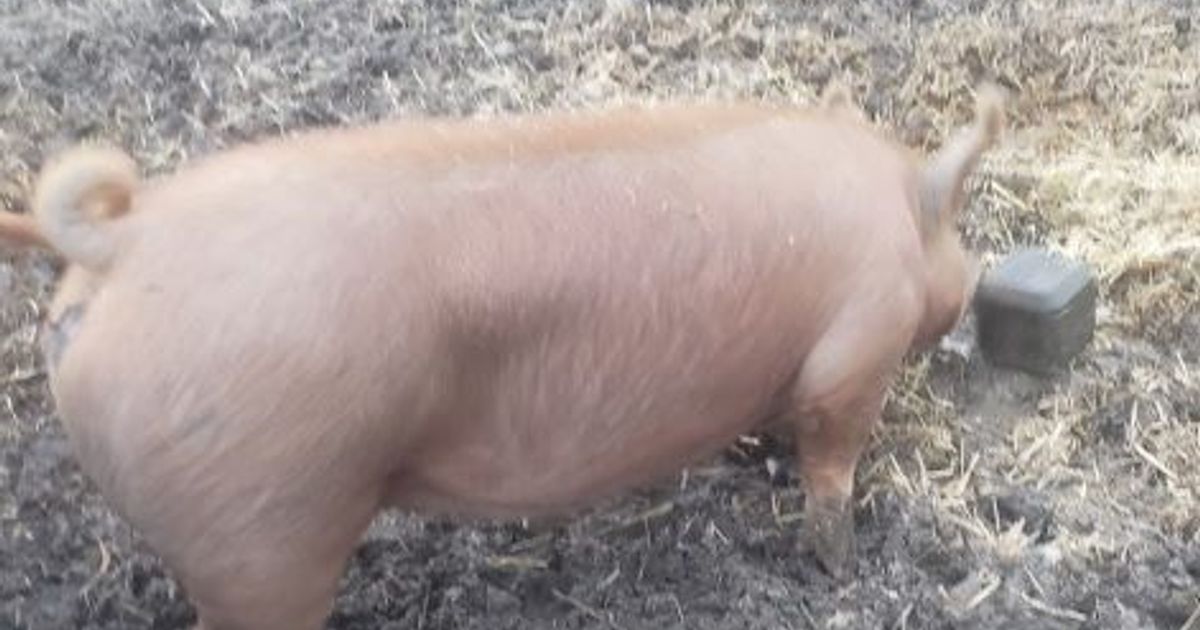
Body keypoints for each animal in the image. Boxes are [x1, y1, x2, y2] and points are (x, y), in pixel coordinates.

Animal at [2, 82, 1003, 629]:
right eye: (959, 228)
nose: (974, 282)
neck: (898, 219)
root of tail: (124, 243)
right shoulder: (860, 343)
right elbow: (832, 456)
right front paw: (841, 566)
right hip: (260, 529)